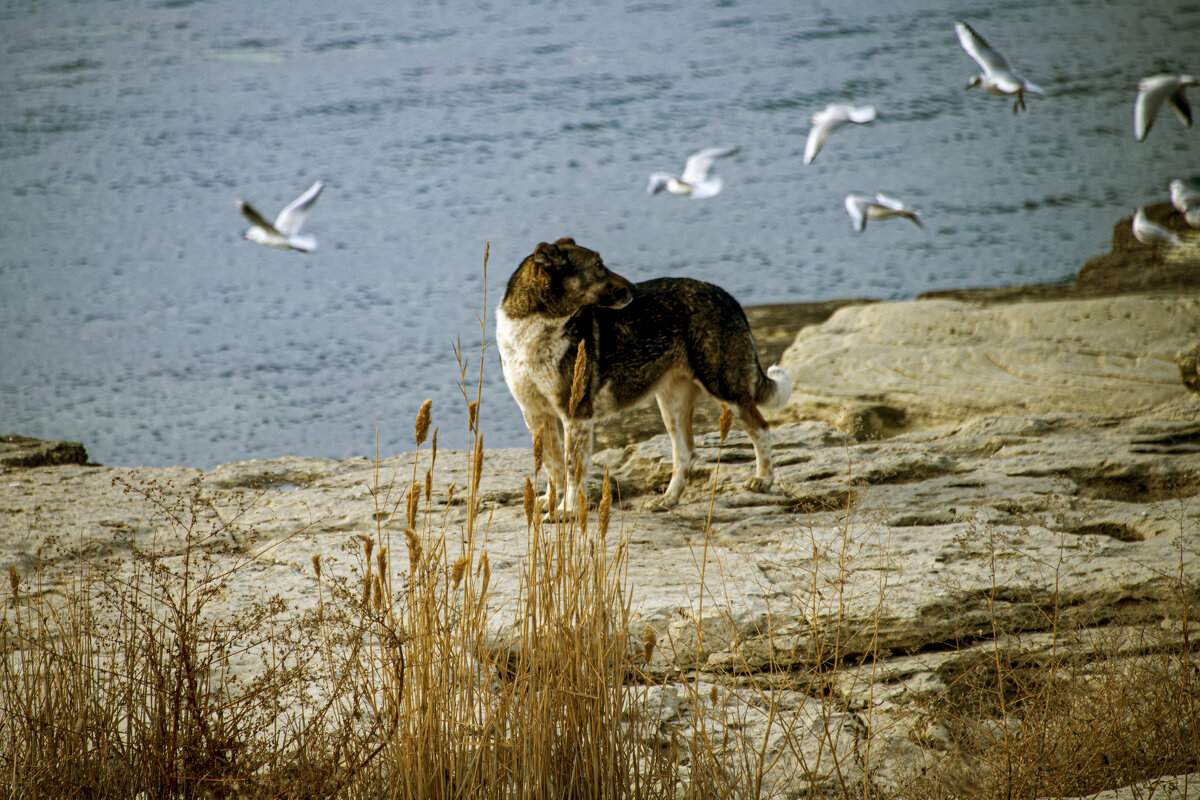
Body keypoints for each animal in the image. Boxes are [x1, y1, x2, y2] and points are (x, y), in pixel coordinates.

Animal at [496, 239, 796, 513]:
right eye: (598, 266)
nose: (633, 289)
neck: (533, 329)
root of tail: (726, 296)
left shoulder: (575, 413)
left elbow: (572, 468)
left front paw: (566, 511)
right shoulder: (535, 413)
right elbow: (552, 465)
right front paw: (550, 502)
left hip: (725, 388)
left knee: (761, 428)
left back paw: (763, 480)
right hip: (672, 404)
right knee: (686, 454)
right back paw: (668, 500)